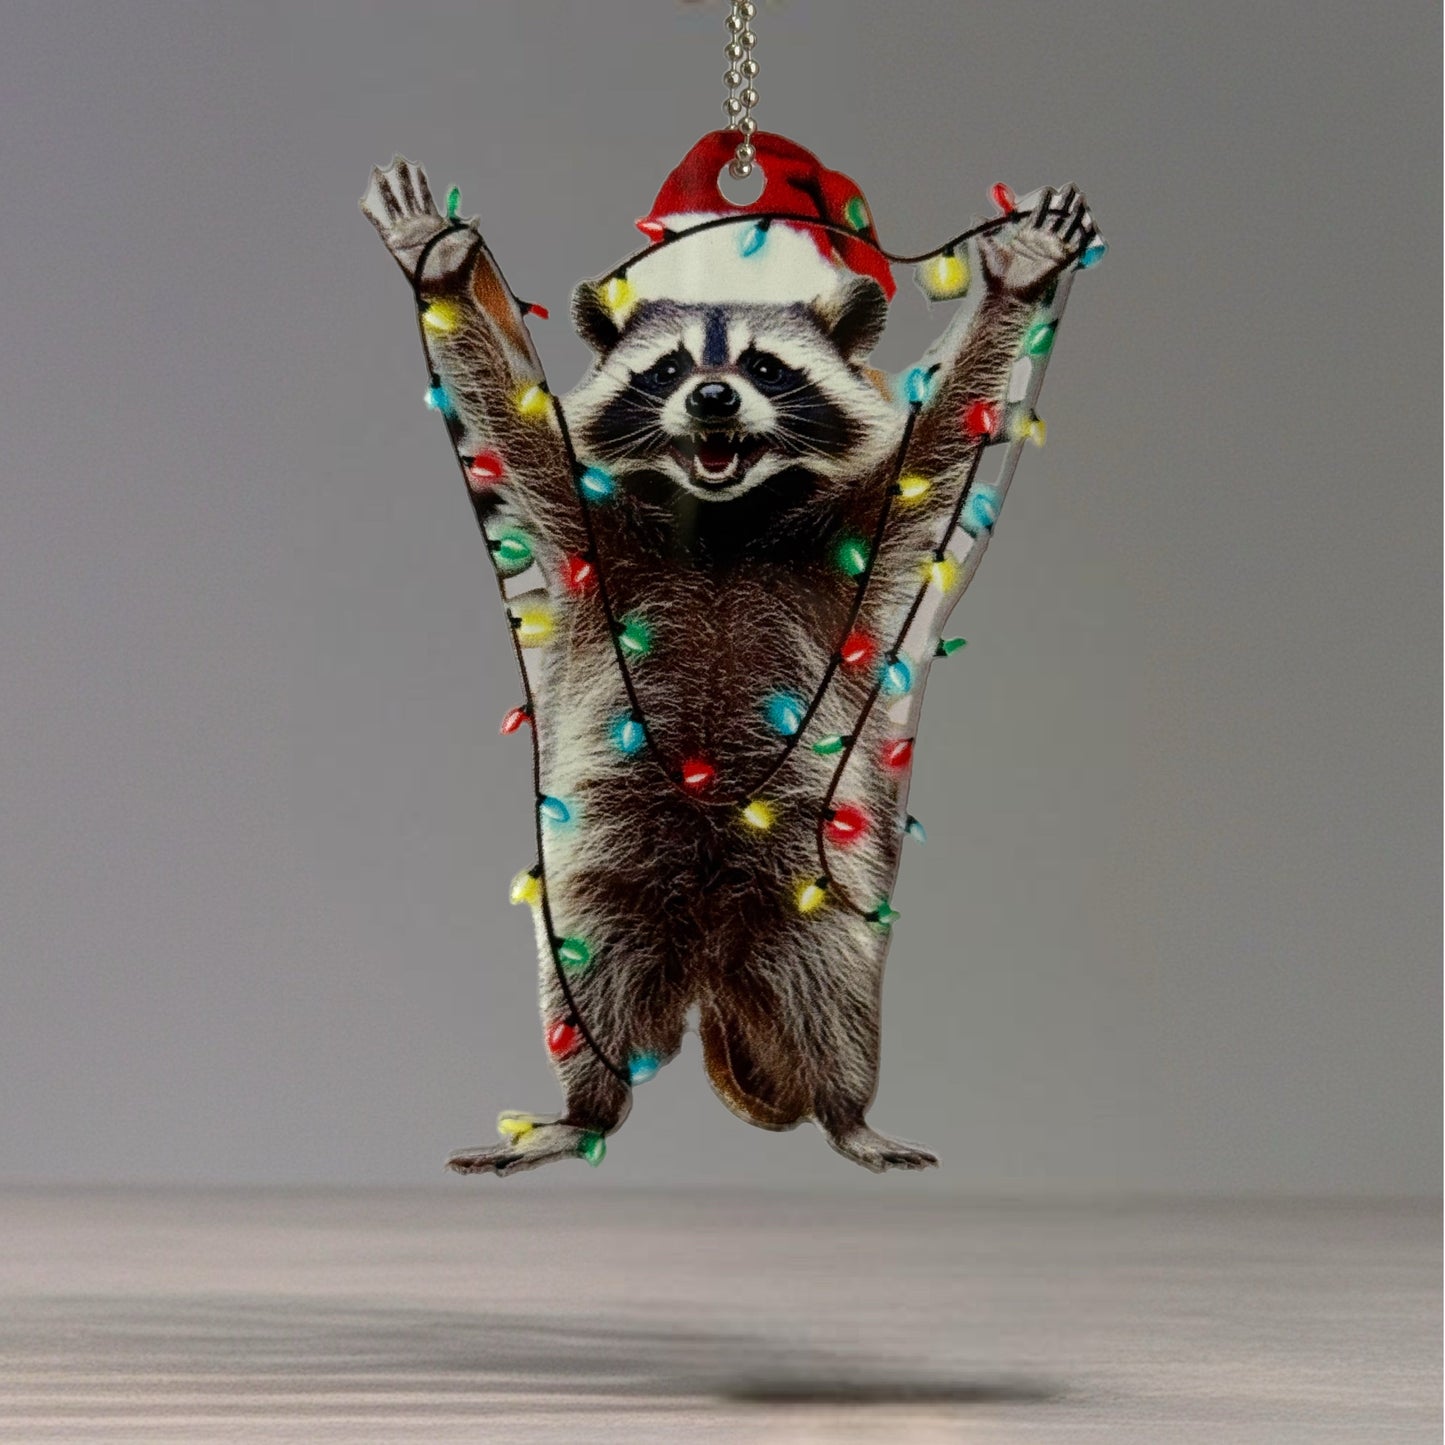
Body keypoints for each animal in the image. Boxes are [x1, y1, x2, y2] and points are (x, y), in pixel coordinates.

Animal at [361, 153, 1096, 1175]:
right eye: (669, 368)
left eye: (761, 366)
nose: (711, 399)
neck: (721, 523)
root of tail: (710, 965)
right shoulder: (589, 531)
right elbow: (508, 419)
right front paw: (437, 261)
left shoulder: (854, 538)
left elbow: (944, 436)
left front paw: (1019, 278)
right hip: (603, 880)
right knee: (590, 993)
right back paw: (586, 1107)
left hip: (808, 890)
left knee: (834, 996)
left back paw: (846, 1109)